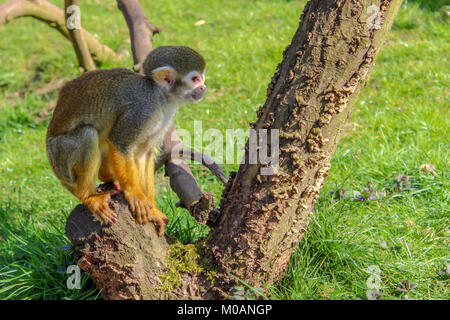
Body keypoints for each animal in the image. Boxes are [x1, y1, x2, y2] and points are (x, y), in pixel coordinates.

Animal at [45, 45, 207, 235]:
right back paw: (88, 196)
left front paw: (152, 208)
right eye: (195, 79)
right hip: (60, 157)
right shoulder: (142, 110)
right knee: (88, 133)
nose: (203, 87)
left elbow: (145, 153)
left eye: (202, 77)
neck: (160, 96)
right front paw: (135, 193)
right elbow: (120, 142)